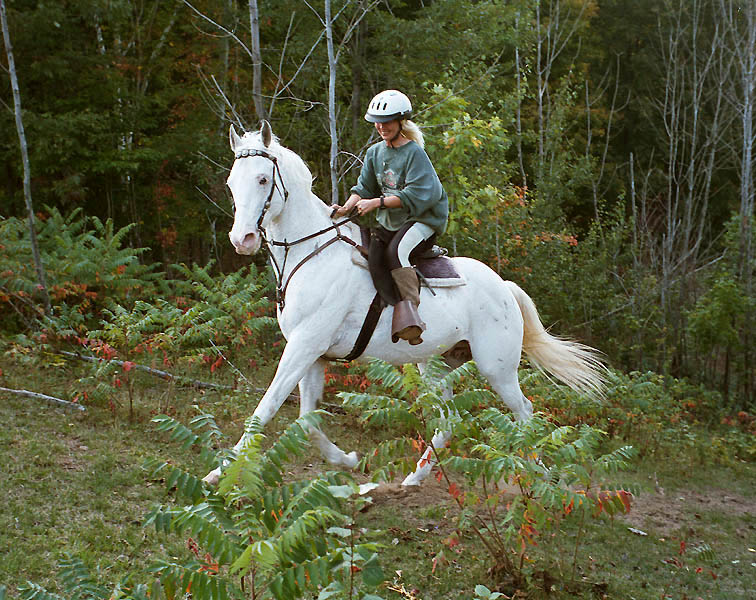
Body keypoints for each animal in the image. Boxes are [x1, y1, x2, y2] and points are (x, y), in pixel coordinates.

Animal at [204, 122, 604, 488]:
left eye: (262, 180)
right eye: (232, 183)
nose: (242, 239)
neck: (313, 251)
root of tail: (503, 287)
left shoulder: (304, 346)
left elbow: (266, 408)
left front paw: (217, 474)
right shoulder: (312, 353)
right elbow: (307, 421)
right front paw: (348, 460)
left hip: (497, 368)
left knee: (524, 410)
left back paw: (542, 473)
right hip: (435, 361)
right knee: (449, 418)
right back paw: (416, 476)